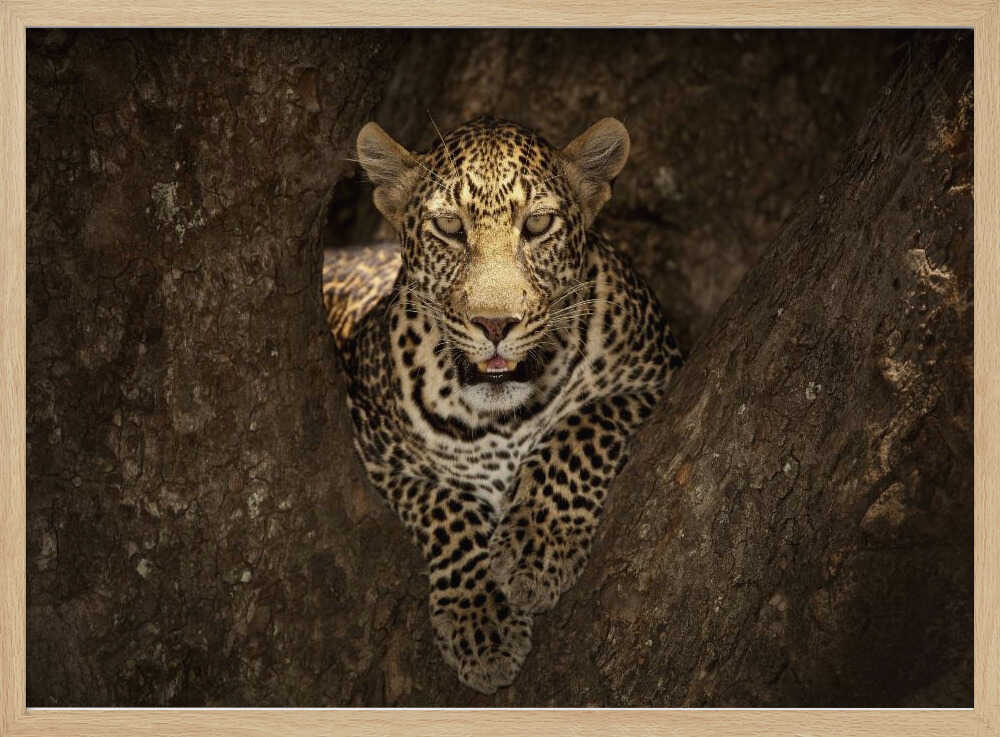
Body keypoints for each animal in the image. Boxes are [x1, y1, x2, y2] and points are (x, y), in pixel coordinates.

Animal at [322, 115, 683, 695]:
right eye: (450, 226)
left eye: (537, 224)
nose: (495, 325)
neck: (500, 420)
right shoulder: (375, 449)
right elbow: (445, 505)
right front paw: (481, 622)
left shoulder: (657, 376)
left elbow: (579, 429)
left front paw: (536, 548)